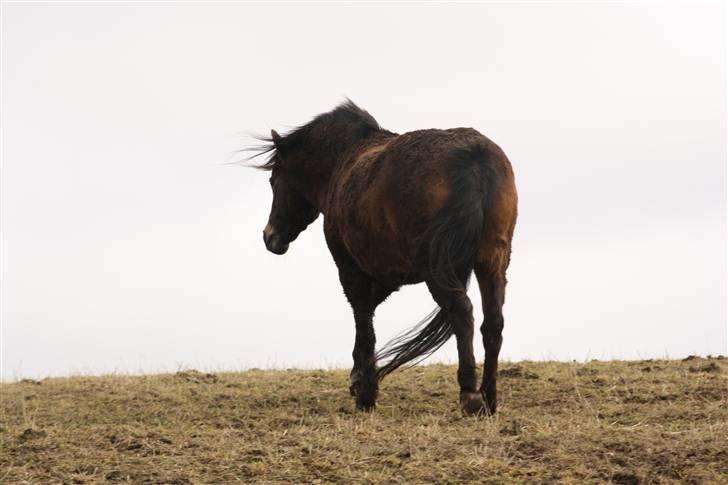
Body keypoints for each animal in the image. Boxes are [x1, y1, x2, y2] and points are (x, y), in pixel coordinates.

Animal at [250, 100, 516, 414]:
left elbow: (363, 319)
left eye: (273, 180)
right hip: (493, 263)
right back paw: (489, 397)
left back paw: (470, 396)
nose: (270, 236)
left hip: (438, 271)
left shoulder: (351, 268)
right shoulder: (388, 272)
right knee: (493, 324)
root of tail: (476, 159)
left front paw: (366, 393)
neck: (344, 162)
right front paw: (358, 379)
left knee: (462, 313)